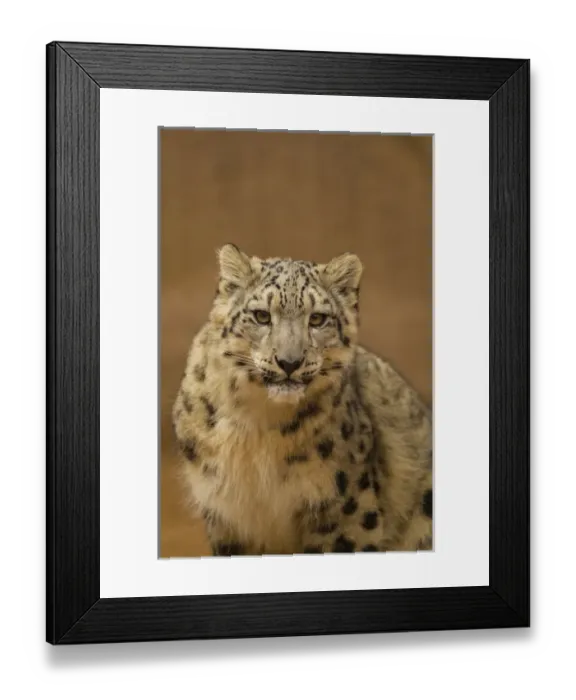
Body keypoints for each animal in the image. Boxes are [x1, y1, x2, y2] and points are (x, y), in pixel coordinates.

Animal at [171, 243, 433, 556]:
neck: (260, 428)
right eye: (261, 316)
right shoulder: (225, 518)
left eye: (317, 318)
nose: (289, 362)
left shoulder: (345, 512)